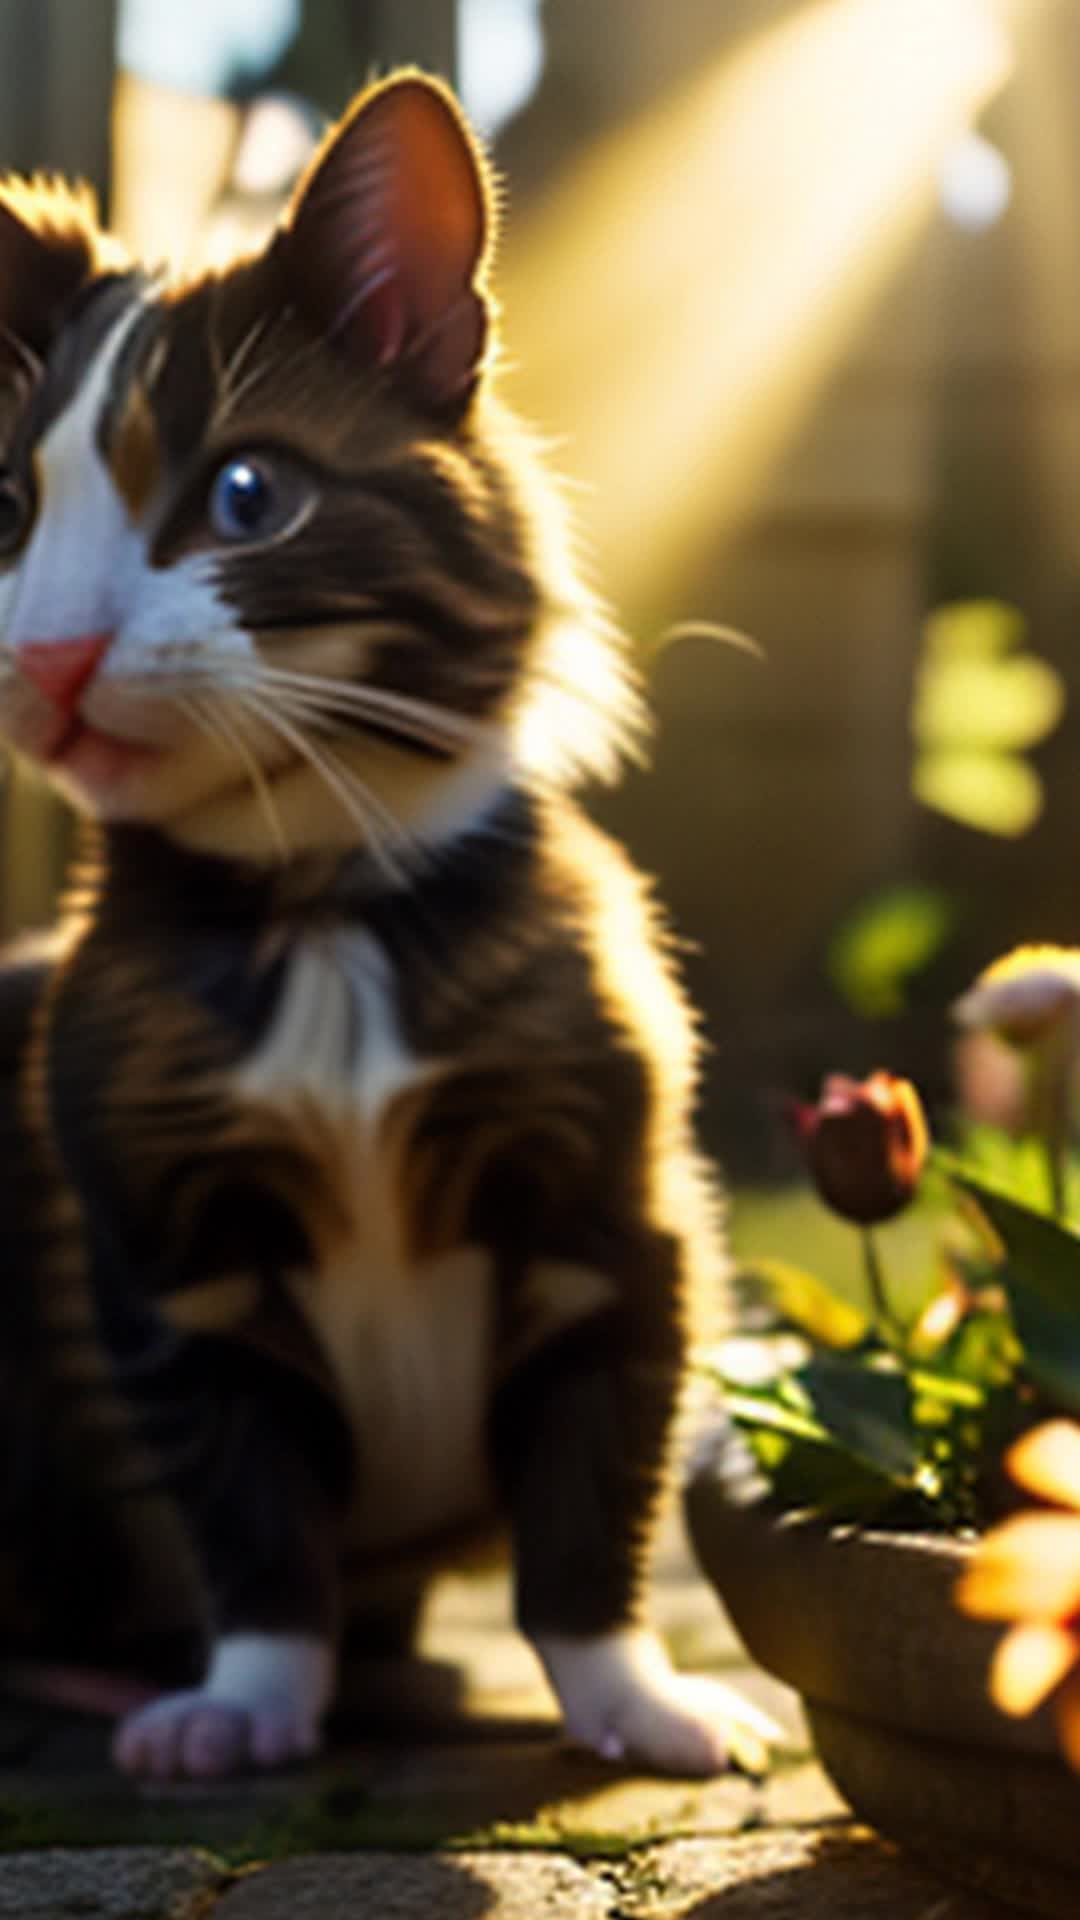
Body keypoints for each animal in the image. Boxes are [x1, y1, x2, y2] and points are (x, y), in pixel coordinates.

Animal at [0, 74, 730, 1781]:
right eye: (8, 508)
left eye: (245, 495)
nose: (48, 664)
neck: (319, 904)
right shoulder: (168, 1256)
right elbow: (248, 1502)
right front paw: (250, 1701)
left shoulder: (614, 1211)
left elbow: (599, 1474)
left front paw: (631, 1696)